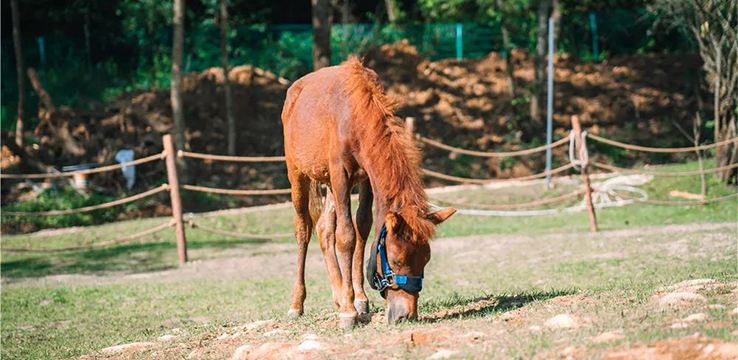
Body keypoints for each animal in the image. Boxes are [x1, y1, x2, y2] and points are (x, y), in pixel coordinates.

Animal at [282, 56, 454, 330]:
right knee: (304, 229)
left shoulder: (365, 178)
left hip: (329, 183)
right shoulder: (341, 175)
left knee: (323, 229)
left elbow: (362, 227)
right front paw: (349, 312)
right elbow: (346, 236)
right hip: (297, 174)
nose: (406, 315)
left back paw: (339, 295)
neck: (354, 115)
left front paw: (359, 300)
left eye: (426, 259)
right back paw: (297, 304)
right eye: (396, 260)